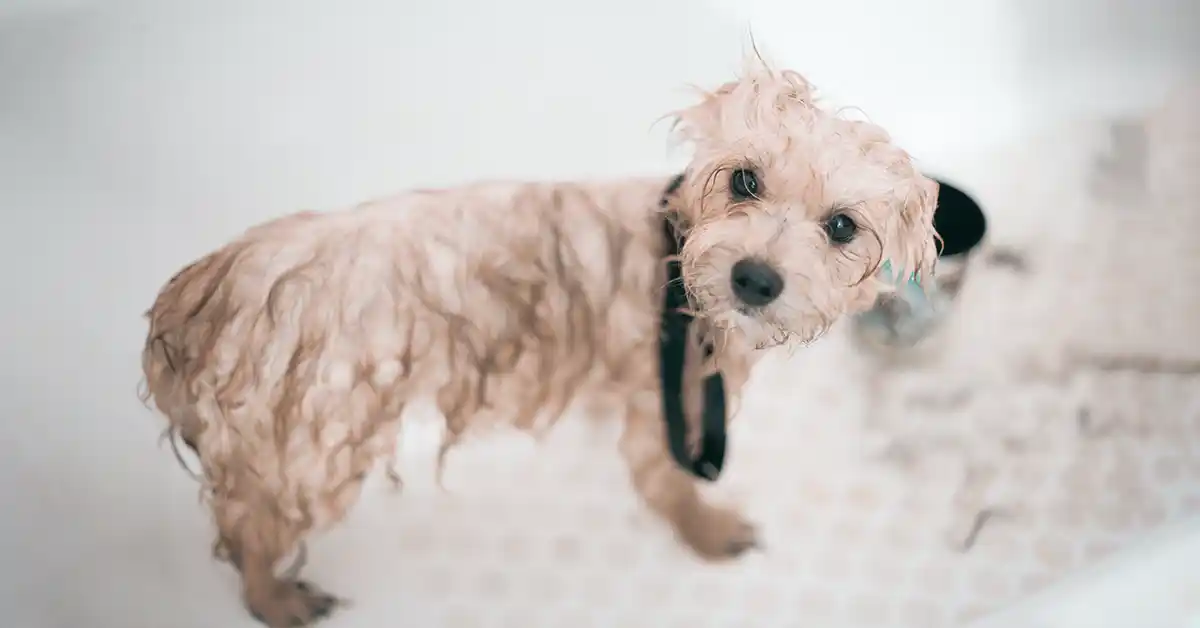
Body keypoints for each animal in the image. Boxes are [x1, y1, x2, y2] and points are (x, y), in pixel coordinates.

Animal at [140, 56, 940, 624]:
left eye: (842, 226)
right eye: (745, 179)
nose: (755, 277)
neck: (675, 259)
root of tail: (201, 291)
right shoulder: (661, 398)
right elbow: (665, 484)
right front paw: (707, 532)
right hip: (311, 443)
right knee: (248, 530)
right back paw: (276, 600)